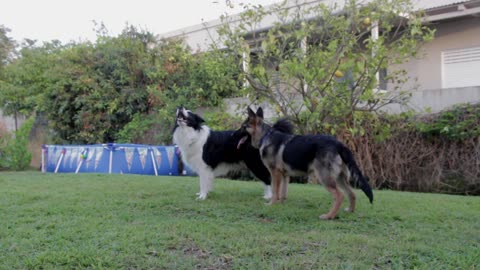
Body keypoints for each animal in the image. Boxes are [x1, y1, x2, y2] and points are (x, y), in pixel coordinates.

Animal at [242, 106, 374, 220]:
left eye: (243, 127)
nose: (235, 131)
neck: (265, 136)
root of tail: (338, 144)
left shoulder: (275, 173)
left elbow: (275, 190)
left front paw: (271, 204)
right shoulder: (285, 175)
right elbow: (283, 192)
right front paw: (280, 204)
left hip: (325, 177)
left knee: (340, 196)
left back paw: (329, 216)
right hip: (339, 178)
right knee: (352, 193)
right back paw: (350, 211)